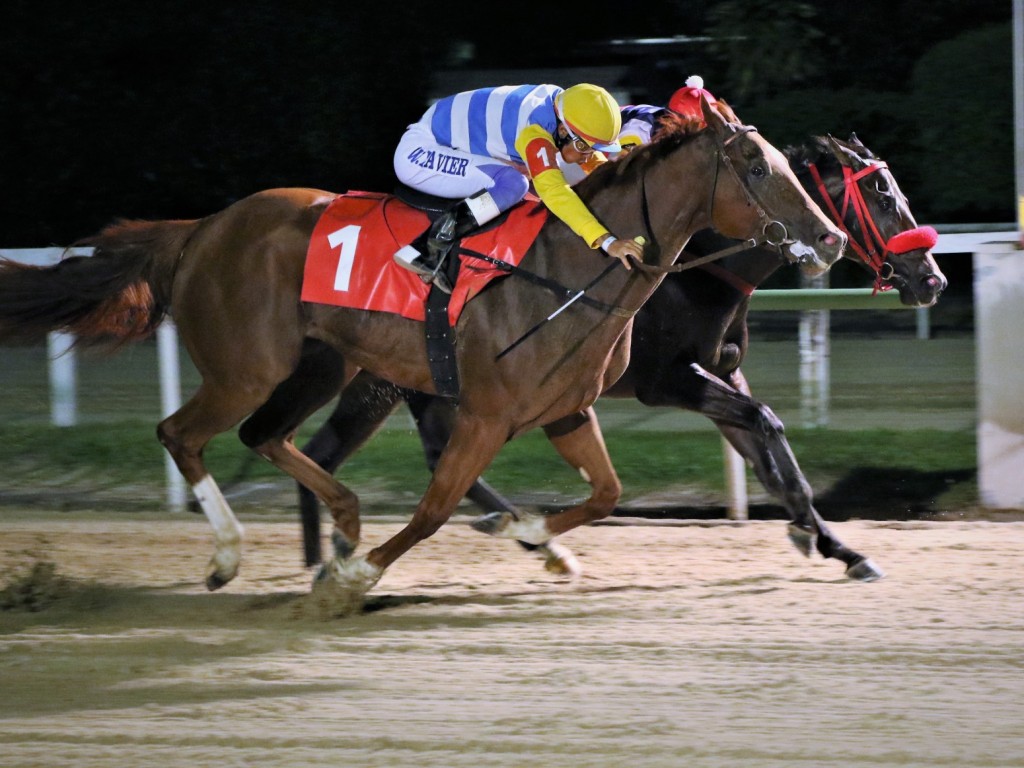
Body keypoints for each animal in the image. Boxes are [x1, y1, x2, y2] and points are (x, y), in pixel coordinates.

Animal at [0, 100, 843, 602]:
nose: (831, 238)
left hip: (327, 365)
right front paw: (358, 577)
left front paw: (540, 538)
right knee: (183, 433)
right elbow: (436, 505)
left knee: (266, 437)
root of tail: (202, 228)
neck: (570, 272)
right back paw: (235, 555)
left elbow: (606, 495)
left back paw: (340, 522)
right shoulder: (488, 414)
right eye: (759, 167)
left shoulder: (567, 411)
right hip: (248, 367)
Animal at [294, 132, 942, 581]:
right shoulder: (668, 379)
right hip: (394, 377)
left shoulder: (724, 371)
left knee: (347, 450)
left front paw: (836, 545)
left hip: (389, 376)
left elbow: (772, 454)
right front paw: (823, 540)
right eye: (882, 196)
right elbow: (765, 425)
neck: (698, 267)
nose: (931, 279)